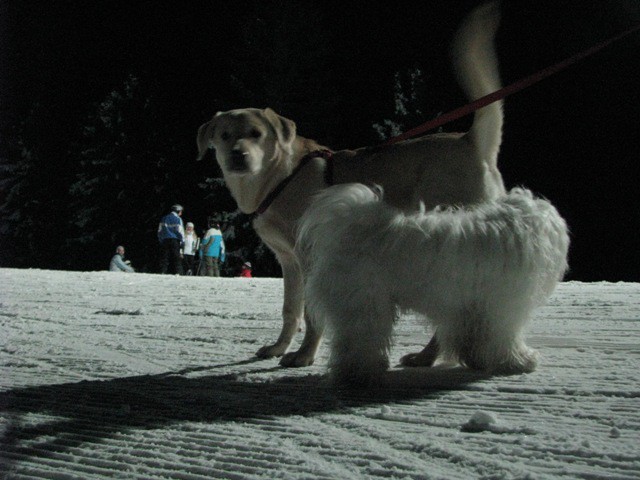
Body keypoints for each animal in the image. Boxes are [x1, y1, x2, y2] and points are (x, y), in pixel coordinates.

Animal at [195, 1, 504, 368]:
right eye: (225, 135)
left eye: (256, 134)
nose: (238, 156)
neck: (278, 177)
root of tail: (471, 141)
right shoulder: (289, 261)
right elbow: (290, 311)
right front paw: (279, 348)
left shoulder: (310, 257)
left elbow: (313, 314)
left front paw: (304, 355)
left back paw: (438, 354)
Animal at [296, 184, 568, 386]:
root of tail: (353, 226)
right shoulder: (502, 307)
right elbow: (503, 338)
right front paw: (517, 361)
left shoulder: (468, 308)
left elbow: (471, 337)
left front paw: (479, 360)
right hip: (364, 303)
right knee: (359, 340)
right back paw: (360, 374)